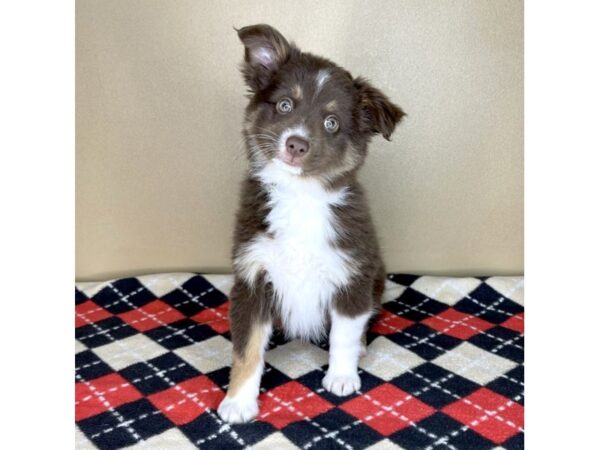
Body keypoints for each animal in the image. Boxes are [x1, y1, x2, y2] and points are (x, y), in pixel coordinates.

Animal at [216, 23, 404, 426]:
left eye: (332, 123)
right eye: (285, 105)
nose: (296, 144)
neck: (300, 197)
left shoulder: (351, 274)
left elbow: (344, 334)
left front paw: (342, 376)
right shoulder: (251, 279)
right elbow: (246, 348)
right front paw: (238, 401)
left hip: (376, 275)